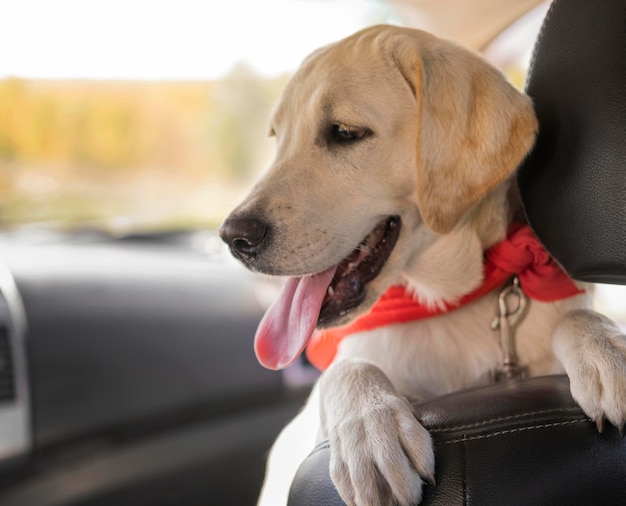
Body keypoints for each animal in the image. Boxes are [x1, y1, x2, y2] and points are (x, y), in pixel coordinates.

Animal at [218, 24, 624, 506]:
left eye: (345, 132)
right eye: (278, 138)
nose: (233, 237)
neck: (446, 303)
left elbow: (578, 316)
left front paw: (608, 349)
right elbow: (347, 367)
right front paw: (371, 427)